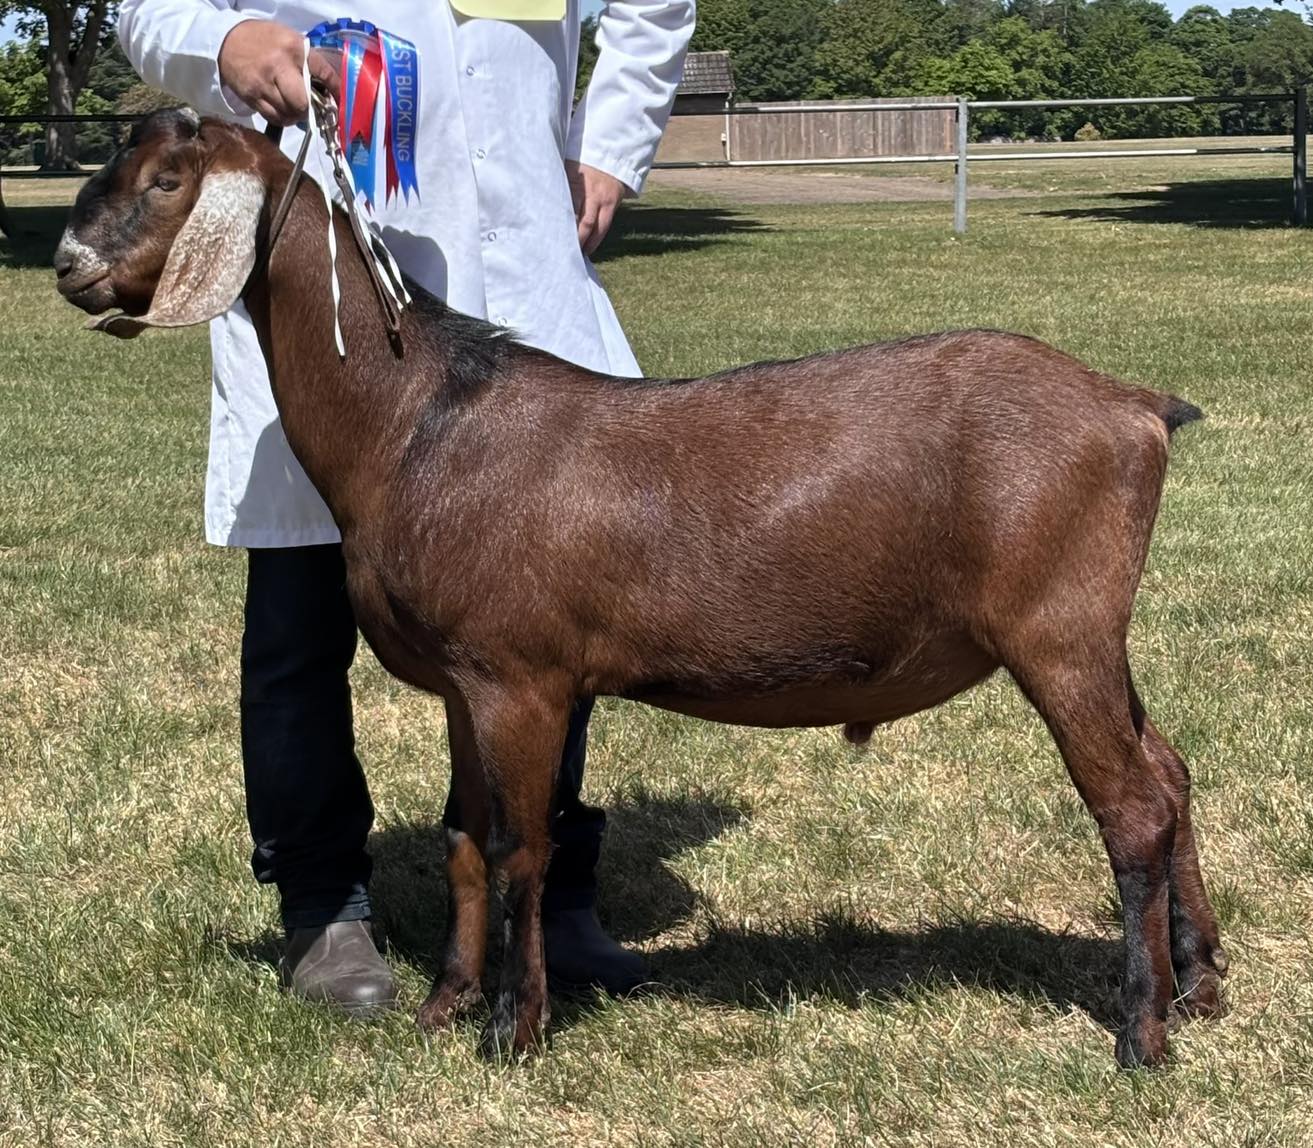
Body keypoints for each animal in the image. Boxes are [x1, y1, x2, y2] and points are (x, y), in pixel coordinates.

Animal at [54, 110, 1225, 1068]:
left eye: (166, 179)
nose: (69, 266)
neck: (414, 427)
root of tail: (1131, 407)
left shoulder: (519, 677)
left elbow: (521, 849)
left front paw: (511, 1032)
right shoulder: (461, 683)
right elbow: (464, 844)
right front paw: (443, 1008)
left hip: (1056, 625)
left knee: (1129, 807)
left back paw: (1140, 1032)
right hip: (1091, 631)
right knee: (1167, 775)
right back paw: (1201, 982)